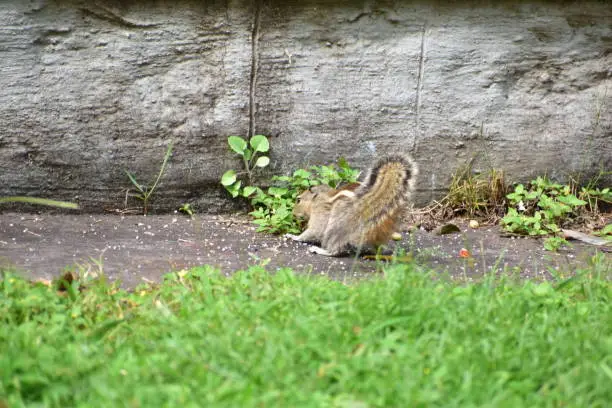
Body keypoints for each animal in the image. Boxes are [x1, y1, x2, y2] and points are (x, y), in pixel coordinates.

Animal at [286, 155, 416, 256]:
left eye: (298, 200)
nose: (293, 214)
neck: (318, 198)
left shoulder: (320, 213)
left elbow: (314, 231)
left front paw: (293, 236)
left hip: (338, 225)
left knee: (336, 249)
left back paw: (321, 250)